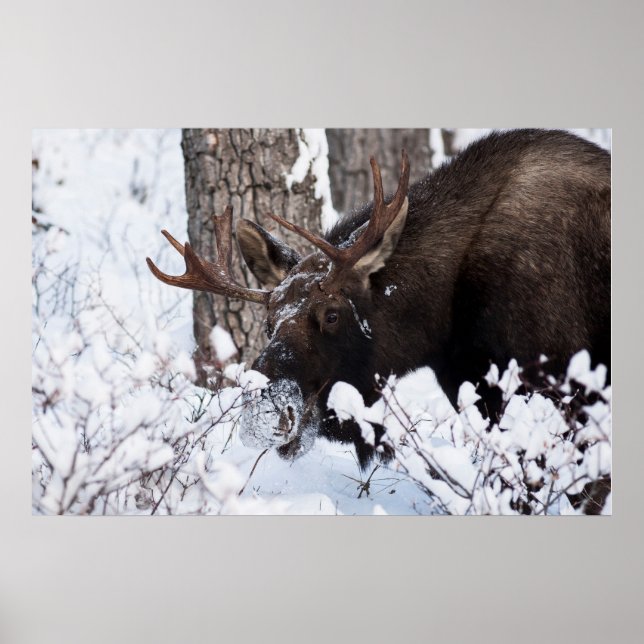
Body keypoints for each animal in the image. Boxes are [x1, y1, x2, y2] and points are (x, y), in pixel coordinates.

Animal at [147, 129, 611, 469]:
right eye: (268, 323)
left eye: (332, 315)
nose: (264, 417)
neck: (442, 325)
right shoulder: (470, 379)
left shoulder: (560, 379)